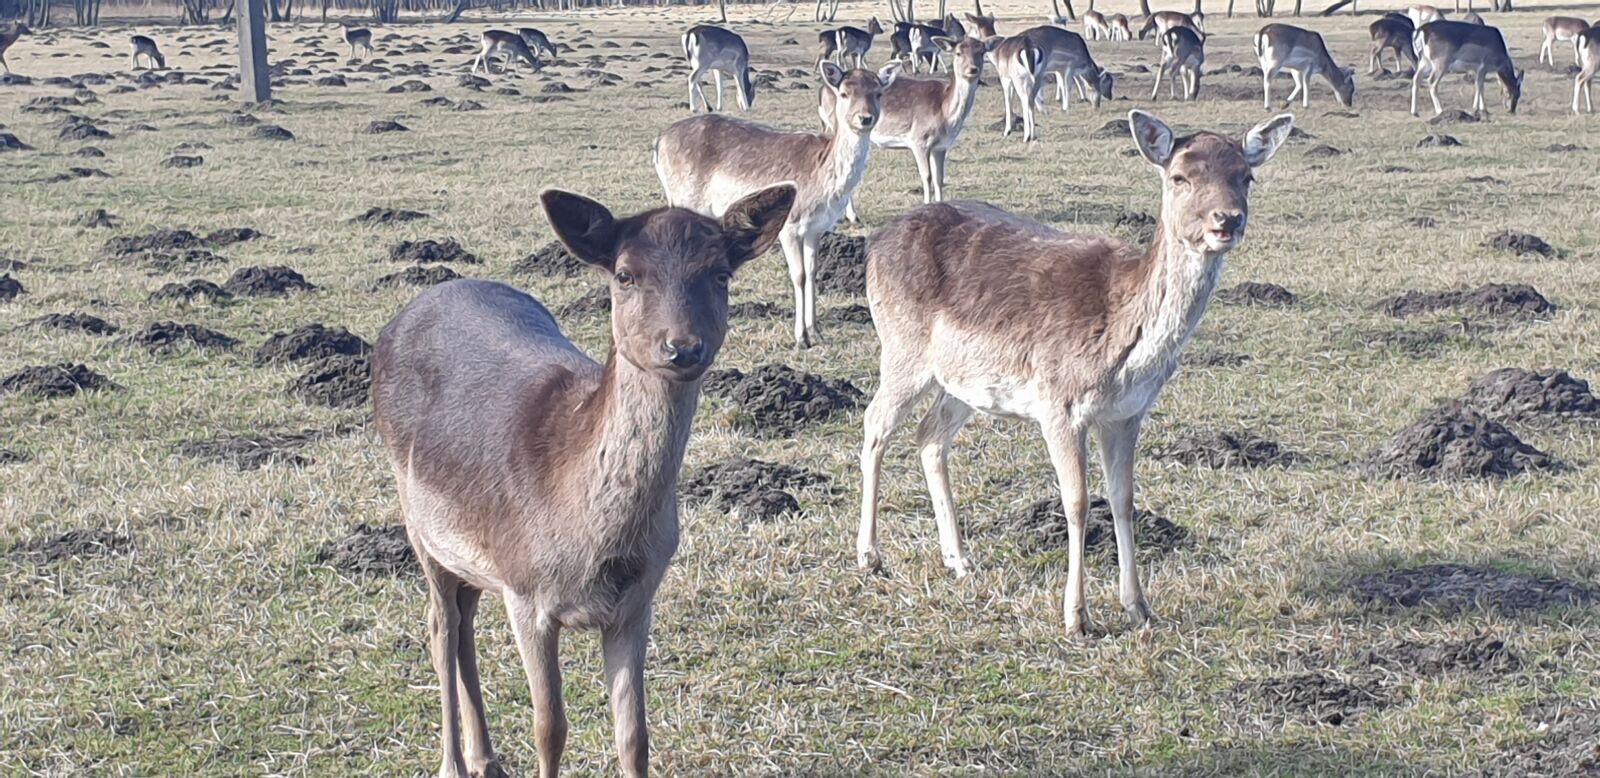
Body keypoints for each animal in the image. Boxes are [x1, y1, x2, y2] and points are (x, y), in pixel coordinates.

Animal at [372, 185, 794, 778]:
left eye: (720, 273)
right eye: (625, 274)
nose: (682, 347)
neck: (593, 543)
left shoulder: (637, 600)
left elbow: (634, 735)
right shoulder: (526, 591)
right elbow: (550, 728)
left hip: (470, 553)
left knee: (464, 626)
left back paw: (486, 758)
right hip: (418, 521)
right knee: (441, 629)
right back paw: (453, 763)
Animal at [655, 61, 896, 348]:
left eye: (878, 93)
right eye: (844, 93)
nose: (865, 118)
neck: (822, 178)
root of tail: (659, 142)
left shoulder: (817, 228)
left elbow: (812, 272)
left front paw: (816, 332)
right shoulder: (790, 226)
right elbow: (798, 275)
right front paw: (801, 338)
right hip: (684, 198)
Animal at [821, 35, 999, 214]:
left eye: (982, 52)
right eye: (958, 53)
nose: (973, 69)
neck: (946, 115)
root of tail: (823, 89)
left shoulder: (941, 146)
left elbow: (939, 178)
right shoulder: (919, 139)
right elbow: (926, 176)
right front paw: (927, 206)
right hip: (836, 125)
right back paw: (852, 215)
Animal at [856, 110, 1294, 636]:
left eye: (1246, 176)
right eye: (1179, 177)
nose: (1226, 220)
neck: (1124, 337)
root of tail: (876, 243)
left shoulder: (1128, 413)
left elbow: (1124, 499)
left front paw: (1139, 607)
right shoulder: (1058, 404)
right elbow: (1079, 502)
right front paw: (1076, 617)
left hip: (962, 380)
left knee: (929, 436)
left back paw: (958, 559)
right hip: (903, 349)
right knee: (875, 423)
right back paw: (869, 555)